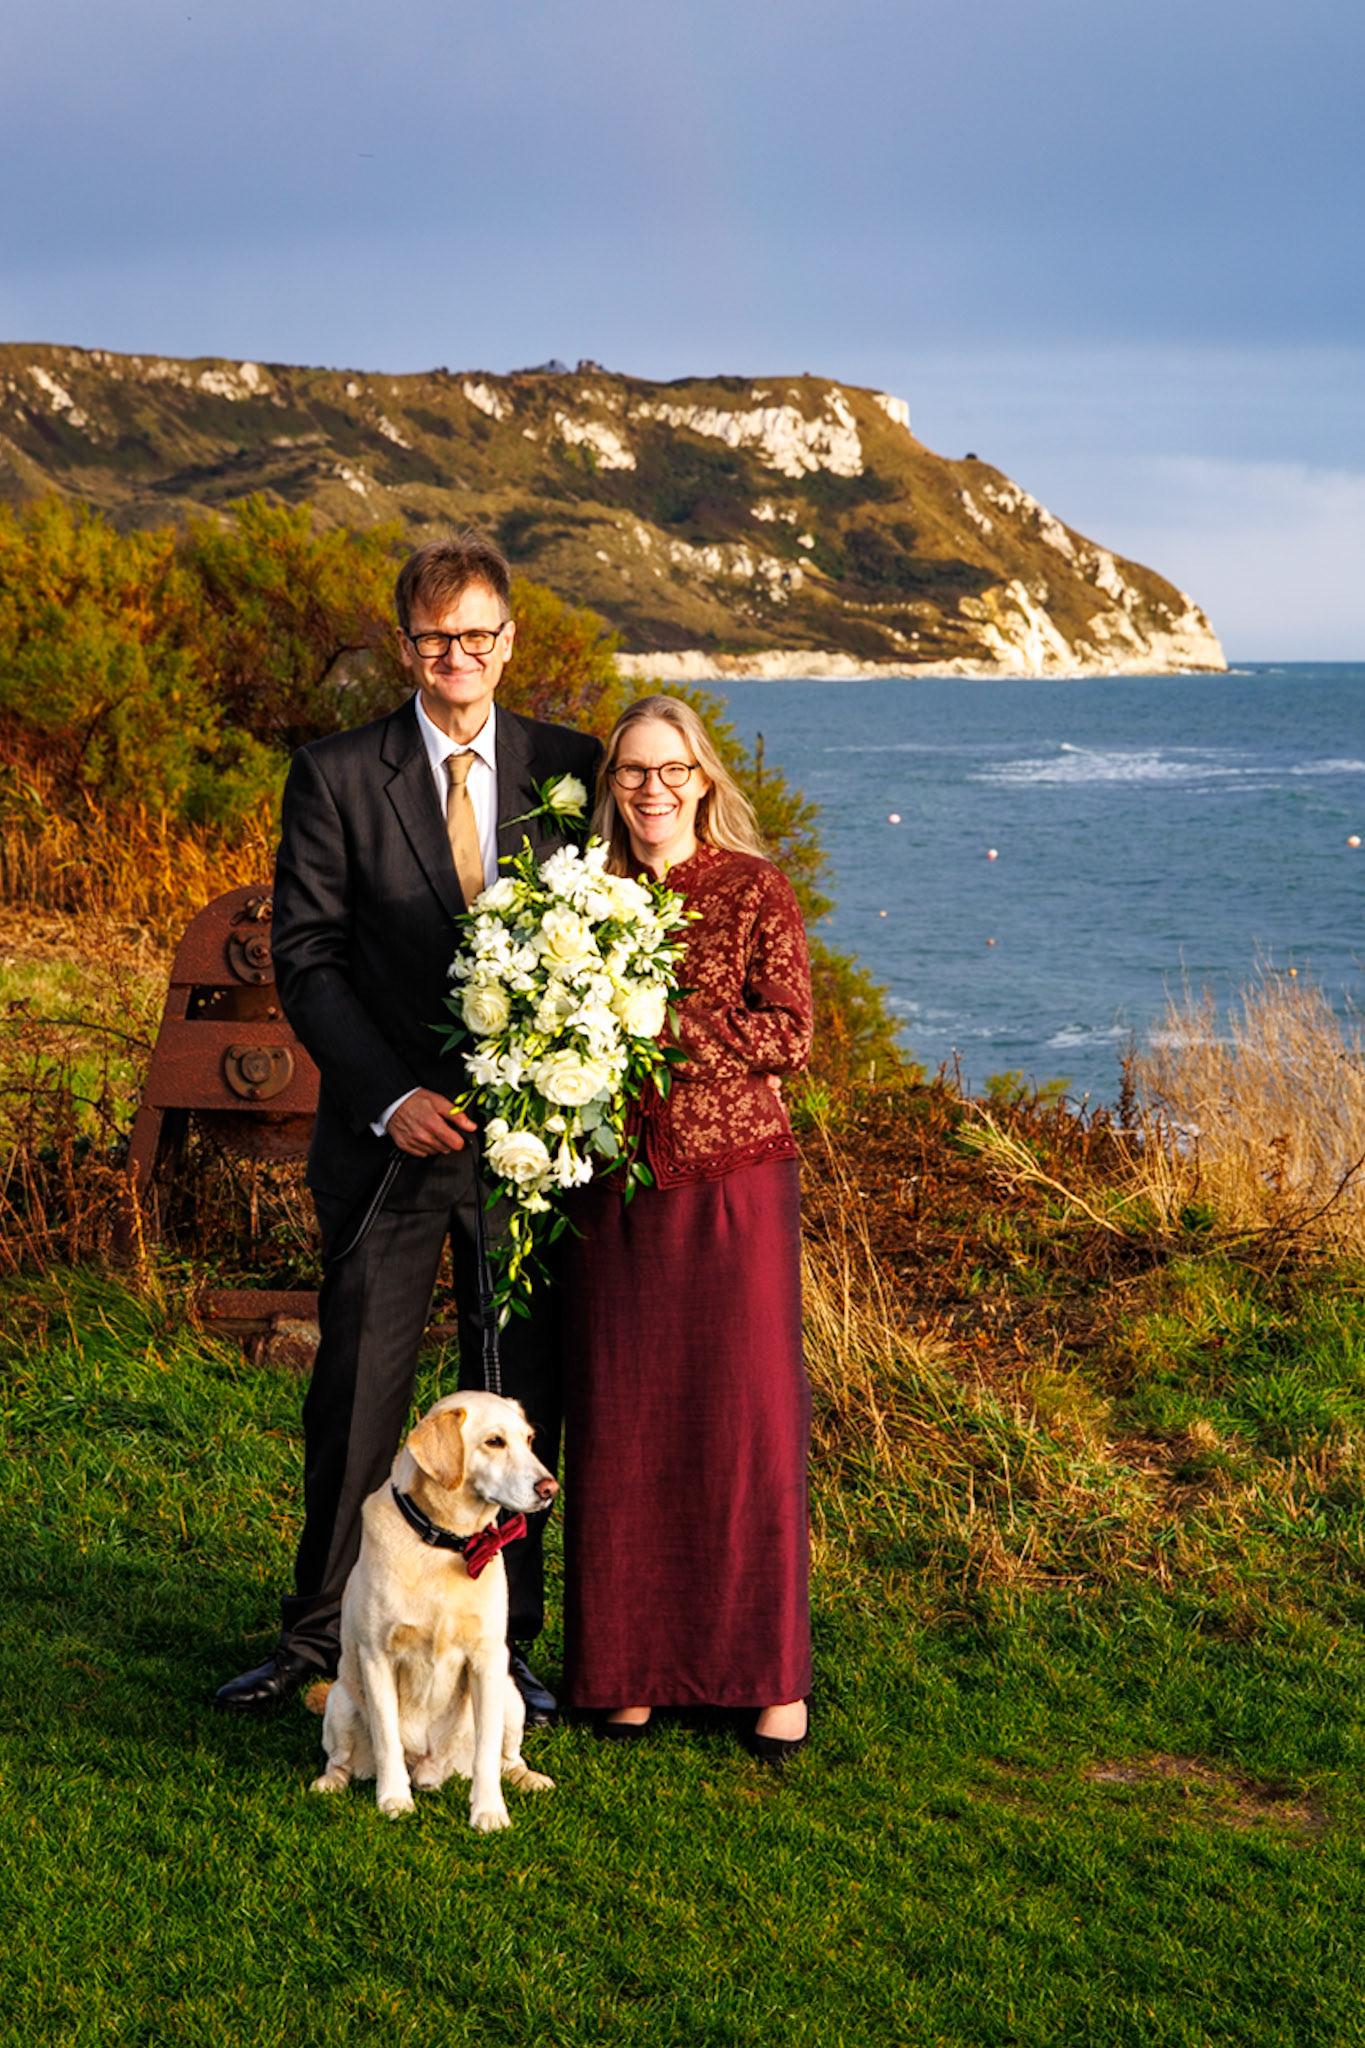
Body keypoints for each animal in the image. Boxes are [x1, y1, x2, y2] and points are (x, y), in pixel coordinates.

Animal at [310, 1390, 559, 1829]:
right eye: (494, 1442)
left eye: (529, 1440)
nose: (550, 1488)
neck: (446, 1545)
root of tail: (430, 1769)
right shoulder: (377, 1657)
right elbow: (388, 1737)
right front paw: (394, 1798)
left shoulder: (488, 1659)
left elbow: (487, 1750)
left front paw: (489, 1811)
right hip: (340, 1701)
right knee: (340, 1760)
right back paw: (330, 1783)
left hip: (512, 1696)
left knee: (507, 1758)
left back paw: (528, 1779)